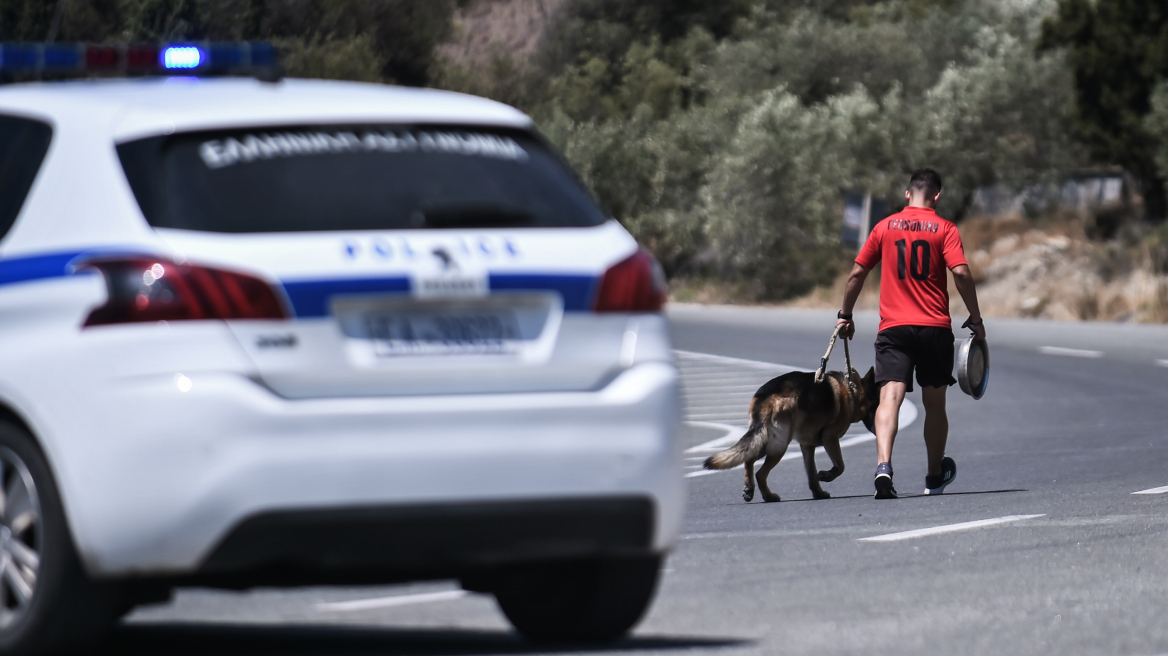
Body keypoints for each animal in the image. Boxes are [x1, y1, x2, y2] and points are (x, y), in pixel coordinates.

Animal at [700, 368, 878, 499]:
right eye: (876, 404)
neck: (851, 390)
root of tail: (766, 397)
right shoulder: (830, 438)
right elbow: (840, 466)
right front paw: (827, 476)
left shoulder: (807, 445)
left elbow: (811, 474)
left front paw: (818, 493)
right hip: (779, 445)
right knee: (760, 473)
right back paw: (769, 496)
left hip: (764, 440)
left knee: (748, 459)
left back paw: (750, 489)